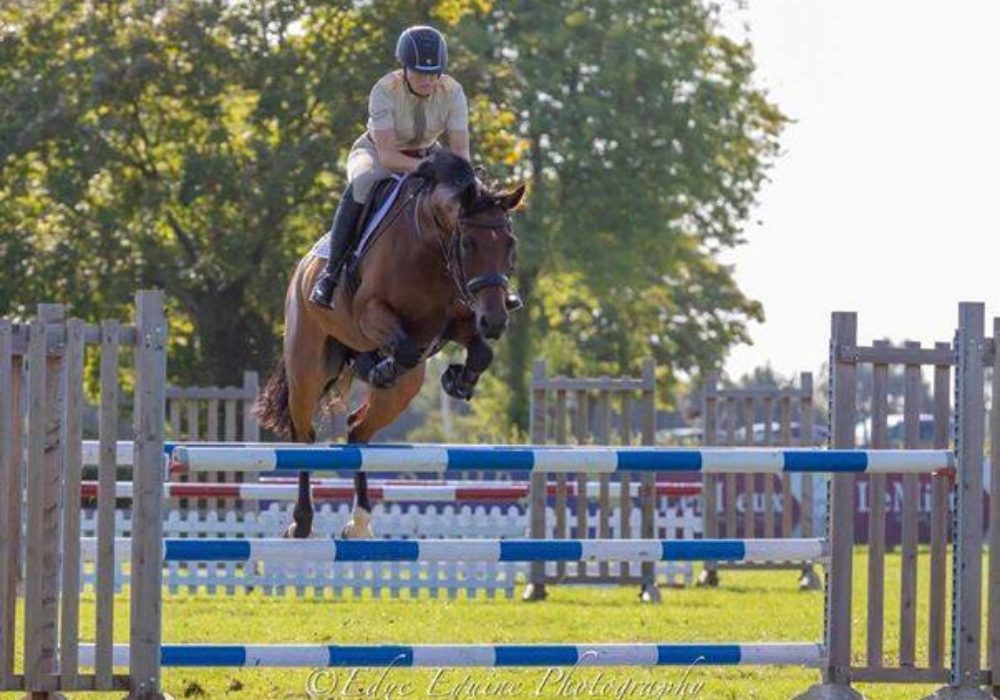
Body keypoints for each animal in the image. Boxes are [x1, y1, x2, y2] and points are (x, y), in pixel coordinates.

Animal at [254, 150, 528, 540]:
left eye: (510, 244)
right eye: (467, 244)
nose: (496, 320)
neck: (431, 247)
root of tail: (303, 267)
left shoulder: (457, 322)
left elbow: (481, 352)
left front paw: (457, 380)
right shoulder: (371, 313)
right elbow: (406, 348)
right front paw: (384, 367)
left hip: (404, 390)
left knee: (357, 429)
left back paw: (359, 522)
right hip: (307, 367)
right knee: (303, 435)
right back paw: (302, 521)